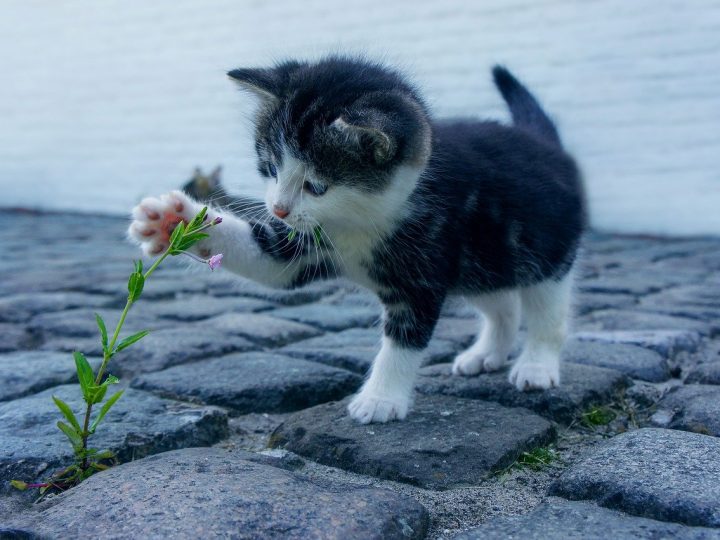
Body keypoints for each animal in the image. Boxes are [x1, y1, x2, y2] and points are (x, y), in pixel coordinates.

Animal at [129, 56, 584, 426]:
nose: (278, 209)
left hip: (544, 252)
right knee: (502, 303)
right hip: (481, 261)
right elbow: (269, 260)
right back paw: (487, 353)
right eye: (270, 167)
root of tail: (546, 144)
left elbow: (404, 339)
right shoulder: (305, 244)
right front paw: (173, 221)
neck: (359, 220)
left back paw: (536, 365)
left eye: (316, 186)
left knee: (547, 312)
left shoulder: (423, 268)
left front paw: (381, 399)